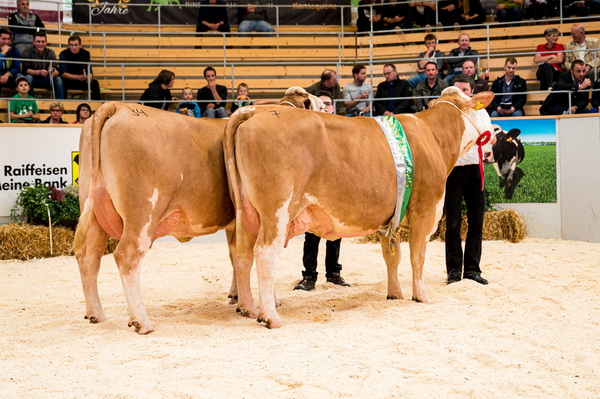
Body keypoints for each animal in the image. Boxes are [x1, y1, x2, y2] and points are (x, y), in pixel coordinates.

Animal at [223, 86, 494, 328]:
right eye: (482, 111)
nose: (492, 132)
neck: (433, 136)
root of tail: (256, 111)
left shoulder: (391, 218)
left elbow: (392, 257)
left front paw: (395, 294)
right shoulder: (425, 210)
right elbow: (417, 257)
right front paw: (421, 296)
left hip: (246, 212)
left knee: (242, 254)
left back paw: (248, 308)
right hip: (277, 210)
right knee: (265, 253)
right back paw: (271, 317)